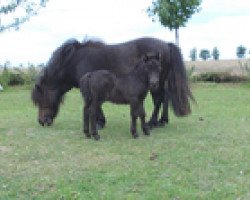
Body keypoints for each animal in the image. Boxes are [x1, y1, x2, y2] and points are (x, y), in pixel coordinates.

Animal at [31, 37, 193, 127]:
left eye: (40, 99)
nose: (42, 121)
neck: (75, 62)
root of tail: (166, 44)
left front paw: (99, 122)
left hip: (155, 84)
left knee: (158, 100)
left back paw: (152, 123)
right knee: (164, 98)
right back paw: (162, 121)